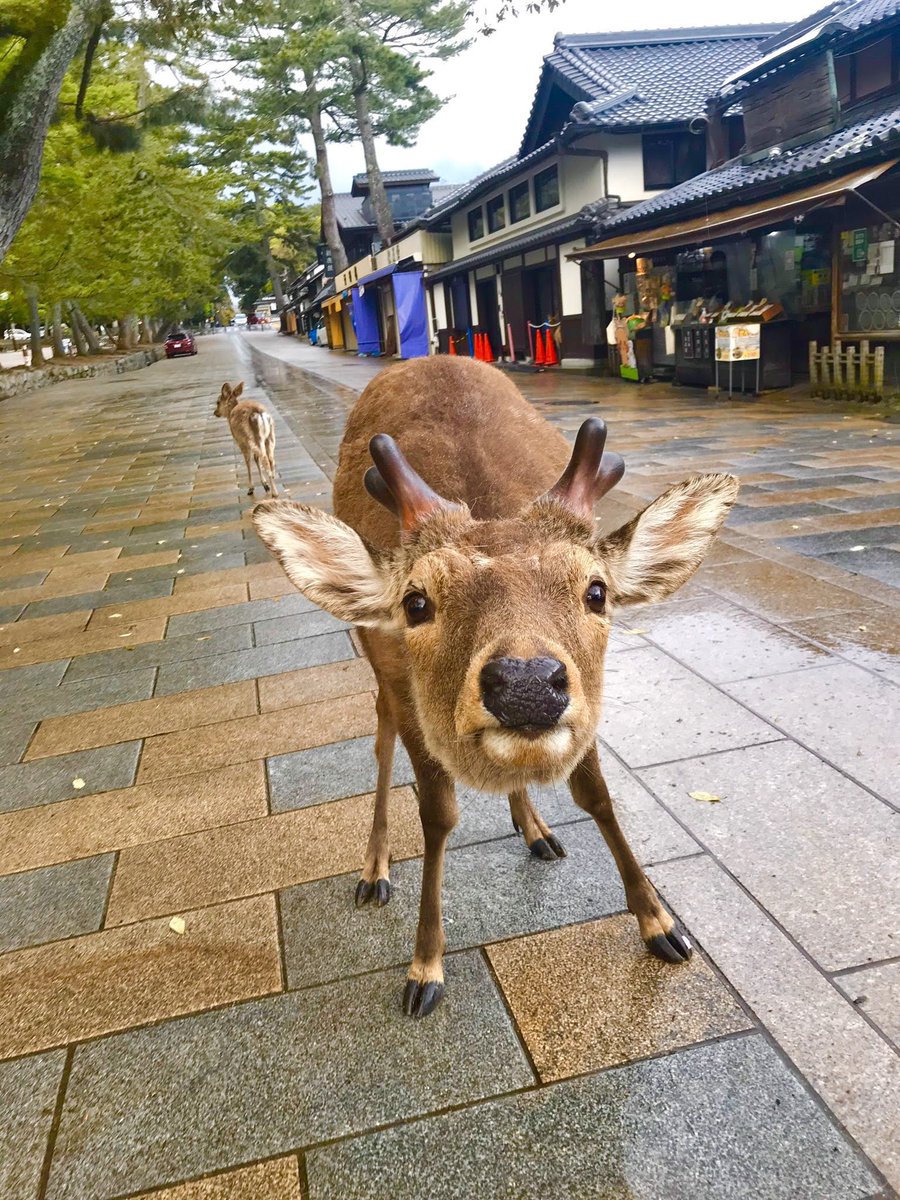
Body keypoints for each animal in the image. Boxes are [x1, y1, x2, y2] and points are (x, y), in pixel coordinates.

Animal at [253, 355, 738, 1019]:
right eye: (417, 602)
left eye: (597, 591)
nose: (527, 683)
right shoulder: (399, 676)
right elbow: (436, 814)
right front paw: (424, 967)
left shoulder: (587, 711)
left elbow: (597, 797)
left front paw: (661, 924)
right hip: (373, 656)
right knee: (379, 740)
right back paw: (375, 870)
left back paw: (534, 829)